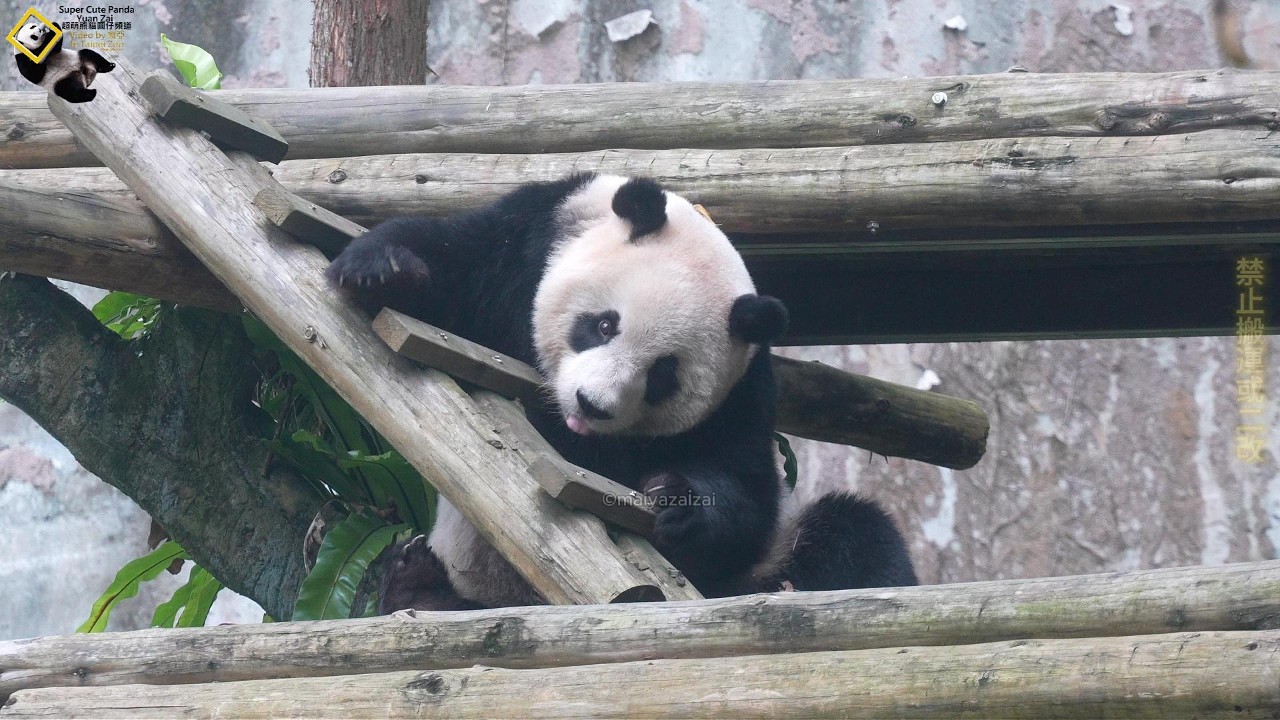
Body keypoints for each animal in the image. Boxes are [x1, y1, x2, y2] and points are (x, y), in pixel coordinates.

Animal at [327, 173, 918, 611]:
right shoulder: (531, 237)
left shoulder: (743, 389)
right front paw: (383, 271)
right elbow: (458, 259)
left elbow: (744, 489)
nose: (592, 405)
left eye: (663, 376)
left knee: (854, 535)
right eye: (604, 325)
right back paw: (417, 586)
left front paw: (677, 499)